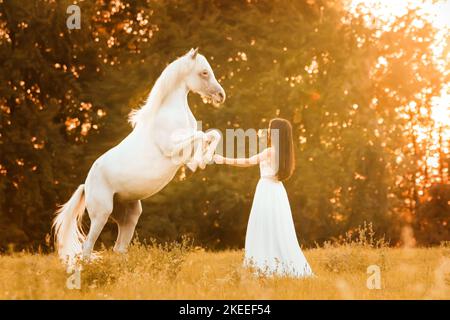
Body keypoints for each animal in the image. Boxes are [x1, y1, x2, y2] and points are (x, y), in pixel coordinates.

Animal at [53, 47, 225, 262]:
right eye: (204, 72)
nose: (221, 95)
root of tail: (86, 185)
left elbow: (212, 134)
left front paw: (202, 159)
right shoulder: (172, 148)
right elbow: (202, 136)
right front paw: (199, 162)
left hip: (130, 214)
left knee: (119, 248)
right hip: (101, 214)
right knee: (87, 246)